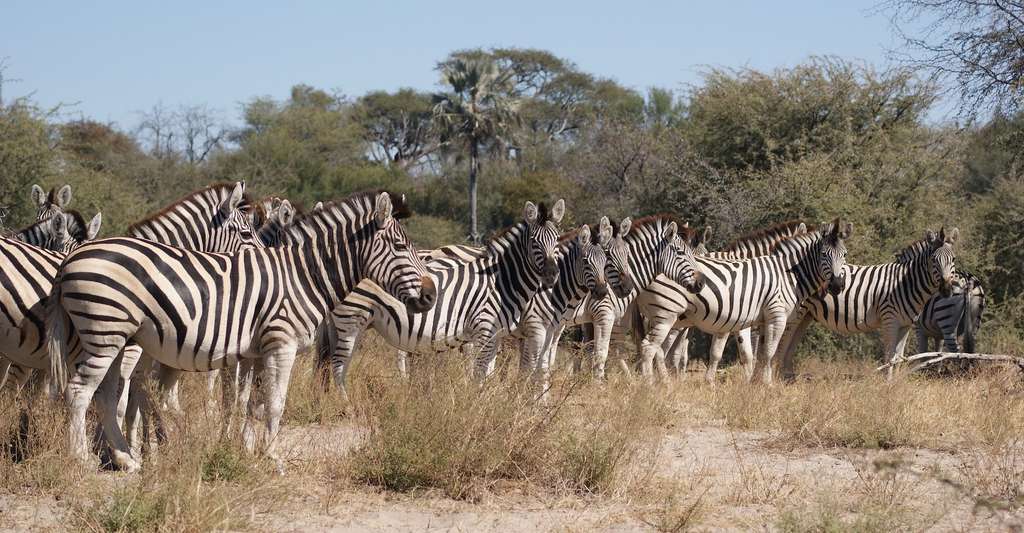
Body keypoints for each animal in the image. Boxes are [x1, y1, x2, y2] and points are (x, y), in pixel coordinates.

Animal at [48, 190, 436, 470]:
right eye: (401, 246)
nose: (431, 295)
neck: (302, 276)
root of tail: (71, 258)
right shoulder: (281, 343)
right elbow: (276, 404)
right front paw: (272, 457)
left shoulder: (255, 351)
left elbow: (249, 403)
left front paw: (245, 451)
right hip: (105, 335)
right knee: (80, 391)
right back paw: (81, 460)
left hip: (118, 338)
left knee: (106, 394)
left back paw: (127, 459)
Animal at [630, 215, 847, 382]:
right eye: (824, 254)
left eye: (844, 254)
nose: (837, 286)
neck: (786, 273)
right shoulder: (772, 316)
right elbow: (762, 353)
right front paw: (765, 385)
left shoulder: (757, 319)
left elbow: (758, 353)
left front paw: (754, 383)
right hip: (666, 313)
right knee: (653, 347)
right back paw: (654, 383)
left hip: (667, 317)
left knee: (660, 349)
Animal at [774, 227, 958, 378]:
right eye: (934, 260)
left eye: (953, 259)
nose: (946, 289)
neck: (906, 283)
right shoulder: (890, 320)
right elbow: (889, 357)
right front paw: (887, 384)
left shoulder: (906, 325)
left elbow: (899, 357)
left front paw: (897, 383)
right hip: (796, 313)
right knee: (781, 345)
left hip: (806, 315)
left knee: (789, 348)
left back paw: (788, 379)